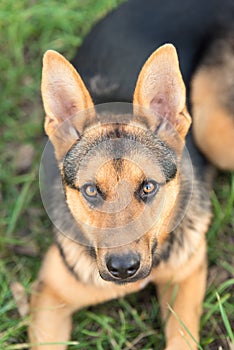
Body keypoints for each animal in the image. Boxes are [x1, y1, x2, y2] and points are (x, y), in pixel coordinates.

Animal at [28, 0, 234, 348]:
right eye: (91, 191)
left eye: (148, 187)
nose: (123, 269)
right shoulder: (49, 297)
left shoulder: (187, 274)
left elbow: (182, 338)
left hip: (213, 131)